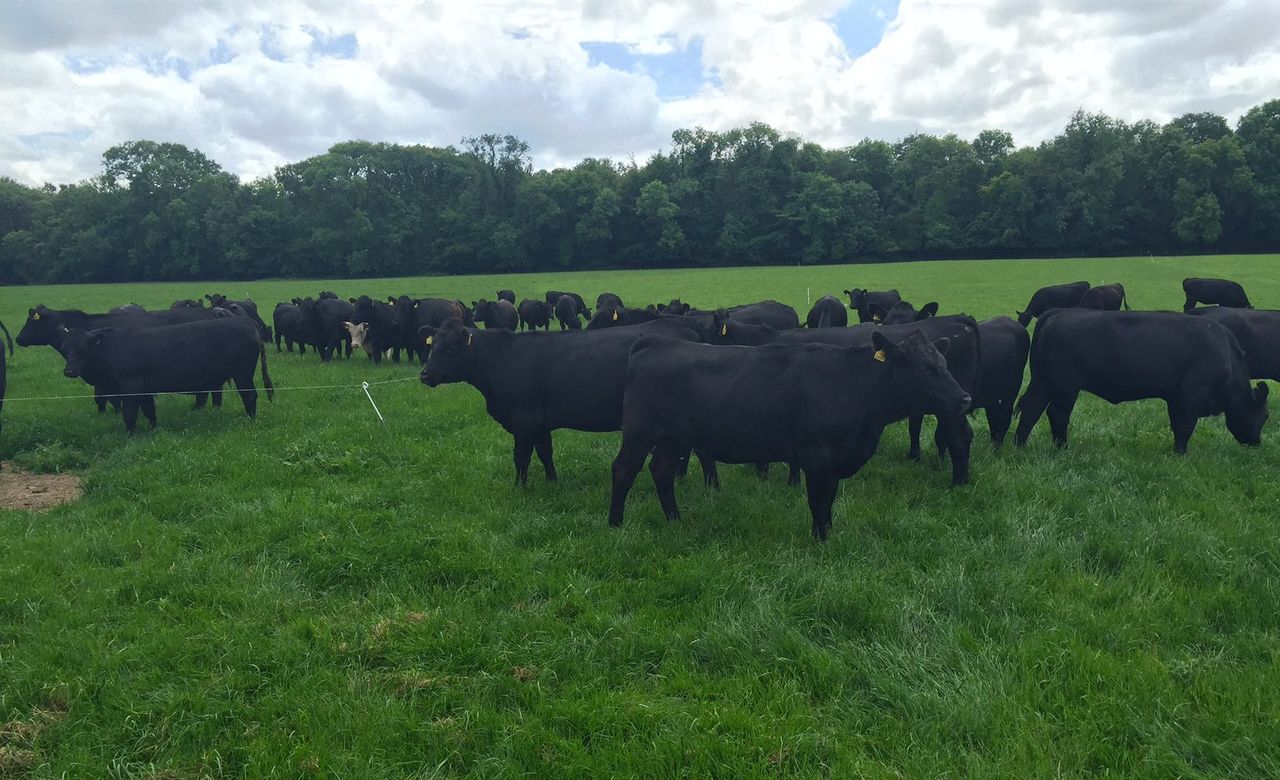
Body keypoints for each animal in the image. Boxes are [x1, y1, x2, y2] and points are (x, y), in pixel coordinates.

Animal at [57, 318, 274, 433]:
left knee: (250, 396)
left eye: (84, 348)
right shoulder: (144, 390)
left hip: (242, 374)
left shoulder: (130, 387)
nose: (69, 371)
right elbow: (149, 410)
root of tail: (246, 322)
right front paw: (154, 429)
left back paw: (250, 420)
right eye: (65, 349)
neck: (112, 349)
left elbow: (130, 414)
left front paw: (130, 434)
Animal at [417, 316, 705, 485]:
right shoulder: (540, 423)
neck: (502, 358)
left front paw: (520, 487)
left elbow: (521, 457)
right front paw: (552, 481)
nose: (425, 374)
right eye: (432, 345)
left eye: (451, 347)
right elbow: (545, 453)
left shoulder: (524, 420)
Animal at [607, 331, 970, 541]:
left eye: (944, 364)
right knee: (624, 470)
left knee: (662, 471)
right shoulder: (817, 456)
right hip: (640, 432)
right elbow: (818, 500)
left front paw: (828, 533)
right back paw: (615, 524)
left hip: (675, 439)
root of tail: (656, 342)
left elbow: (829, 499)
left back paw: (675, 520)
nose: (964, 398)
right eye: (926, 368)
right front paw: (821, 541)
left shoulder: (834, 461)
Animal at [1014, 309, 1269, 454]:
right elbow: (1186, 426)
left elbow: (1177, 425)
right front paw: (1181, 455)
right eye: (1265, 415)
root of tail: (1056, 316)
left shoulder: (1175, 398)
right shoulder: (1192, 394)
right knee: (1057, 414)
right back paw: (1062, 449)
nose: (1256, 443)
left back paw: (1021, 446)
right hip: (1065, 386)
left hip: (1044, 382)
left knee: (1031, 410)